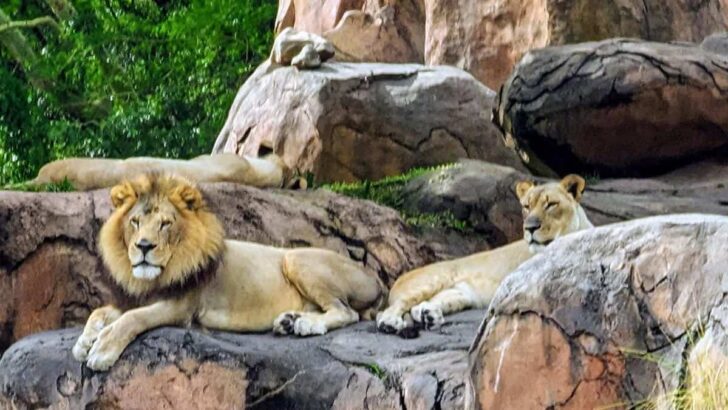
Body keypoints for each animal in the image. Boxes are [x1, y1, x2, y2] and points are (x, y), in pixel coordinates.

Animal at [72, 173, 386, 372]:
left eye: (165, 224)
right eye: (135, 222)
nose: (144, 246)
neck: (155, 276)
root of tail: (375, 280)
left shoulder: (181, 307)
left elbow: (132, 319)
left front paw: (101, 351)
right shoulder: (132, 298)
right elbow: (99, 312)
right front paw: (84, 341)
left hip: (297, 258)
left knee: (346, 312)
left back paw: (307, 324)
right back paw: (290, 321)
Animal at [378, 175, 596, 334]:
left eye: (551, 204)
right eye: (526, 206)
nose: (530, 227)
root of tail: (398, 280)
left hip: (461, 294)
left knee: (421, 306)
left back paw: (428, 316)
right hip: (433, 280)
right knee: (388, 310)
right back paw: (390, 323)